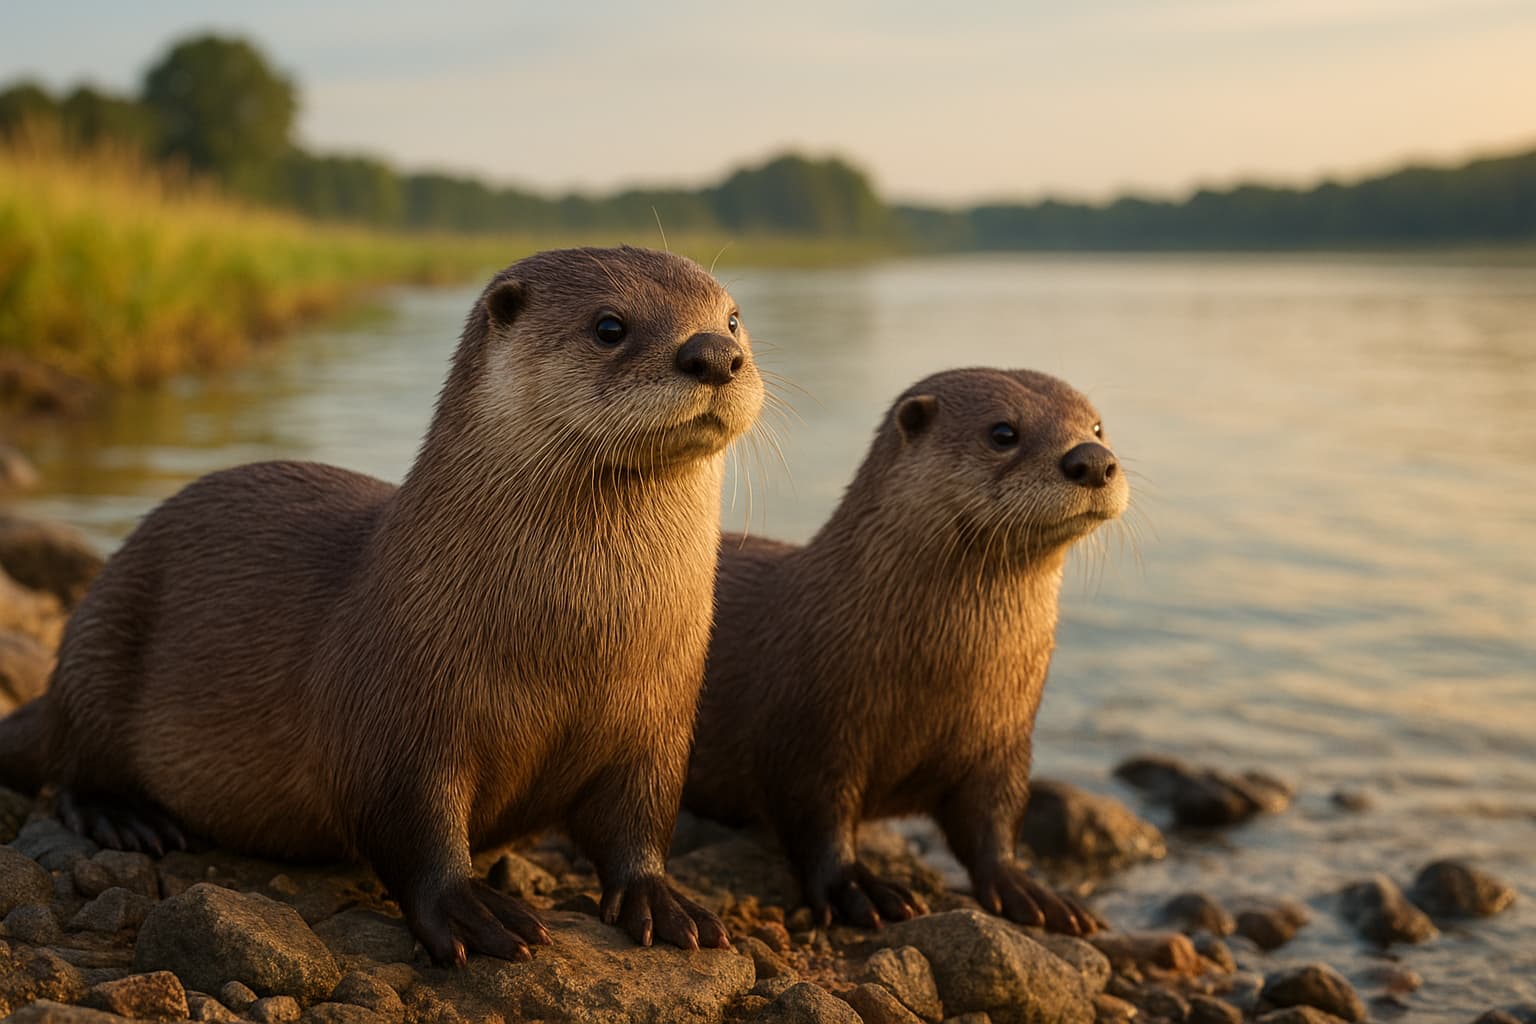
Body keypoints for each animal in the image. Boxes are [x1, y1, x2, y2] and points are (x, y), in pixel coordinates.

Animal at [0, 246, 764, 963]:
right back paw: (123, 817)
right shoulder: (397, 713)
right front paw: (468, 909)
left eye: (732, 318)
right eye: (610, 326)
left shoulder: (659, 722)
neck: (577, 642)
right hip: (103, 641)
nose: (715, 355)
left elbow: (639, 820)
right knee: (69, 761)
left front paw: (660, 899)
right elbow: (410, 824)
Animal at [685, 367, 1127, 936]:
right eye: (1003, 432)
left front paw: (1031, 890)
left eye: (1097, 426)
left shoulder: (1005, 740)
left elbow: (995, 821)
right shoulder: (812, 730)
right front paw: (857, 887)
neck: (941, 675)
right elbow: (815, 817)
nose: (1092, 459)